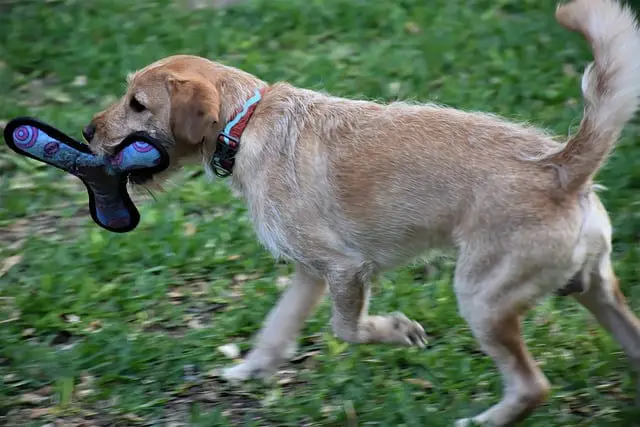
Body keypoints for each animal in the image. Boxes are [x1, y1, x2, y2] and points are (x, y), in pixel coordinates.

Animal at [82, 1, 640, 426]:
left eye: (137, 104)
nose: (86, 131)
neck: (247, 122)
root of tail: (560, 167)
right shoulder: (310, 272)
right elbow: (275, 331)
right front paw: (248, 371)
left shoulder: (346, 269)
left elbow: (346, 330)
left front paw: (396, 331)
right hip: (594, 291)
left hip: (482, 299)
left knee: (532, 386)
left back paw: (483, 420)